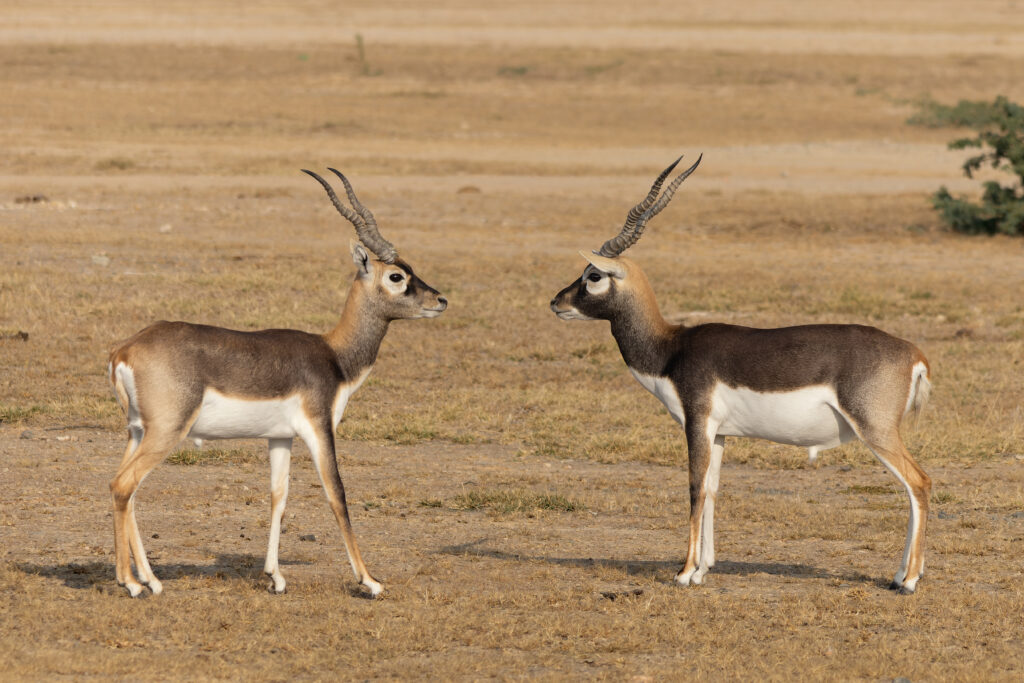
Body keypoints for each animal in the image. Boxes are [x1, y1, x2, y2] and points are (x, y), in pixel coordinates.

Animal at [107, 169, 447, 598]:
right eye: (397, 276)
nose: (440, 300)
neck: (333, 355)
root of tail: (125, 350)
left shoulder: (280, 437)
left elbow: (278, 497)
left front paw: (276, 577)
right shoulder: (319, 428)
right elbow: (337, 494)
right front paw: (369, 580)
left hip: (136, 431)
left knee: (126, 490)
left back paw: (149, 579)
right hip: (166, 431)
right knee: (123, 486)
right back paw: (131, 584)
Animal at [550, 156, 932, 594]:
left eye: (593, 276)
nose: (556, 302)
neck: (671, 348)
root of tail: (914, 353)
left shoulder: (697, 423)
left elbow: (694, 487)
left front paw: (684, 573)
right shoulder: (720, 433)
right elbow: (713, 489)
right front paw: (703, 569)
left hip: (875, 430)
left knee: (919, 483)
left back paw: (909, 580)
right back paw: (899, 575)